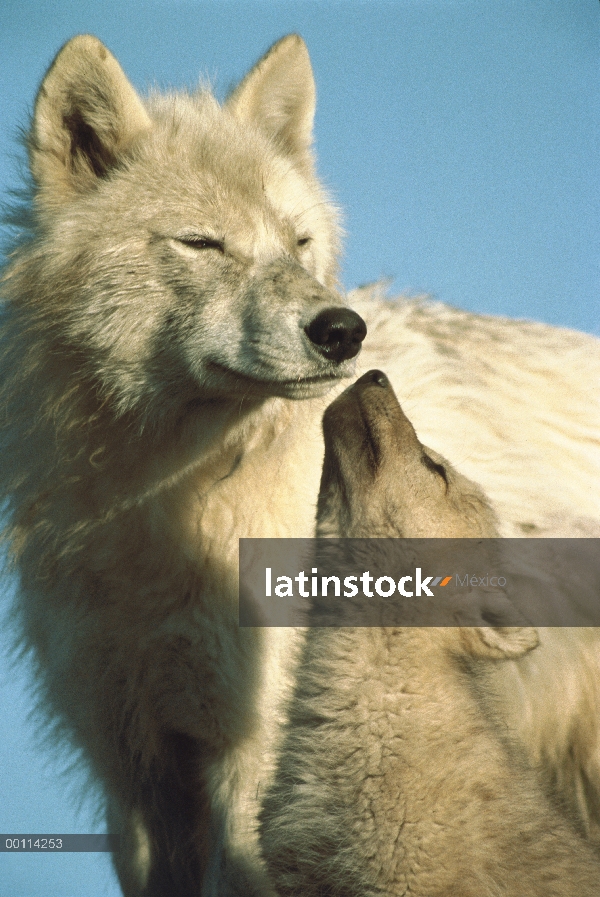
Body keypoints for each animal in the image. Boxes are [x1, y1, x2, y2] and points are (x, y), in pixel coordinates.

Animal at [1, 31, 600, 892]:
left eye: (300, 244)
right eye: (202, 242)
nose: (343, 331)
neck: (163, 499)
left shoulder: (258, 756)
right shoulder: (141, 778)